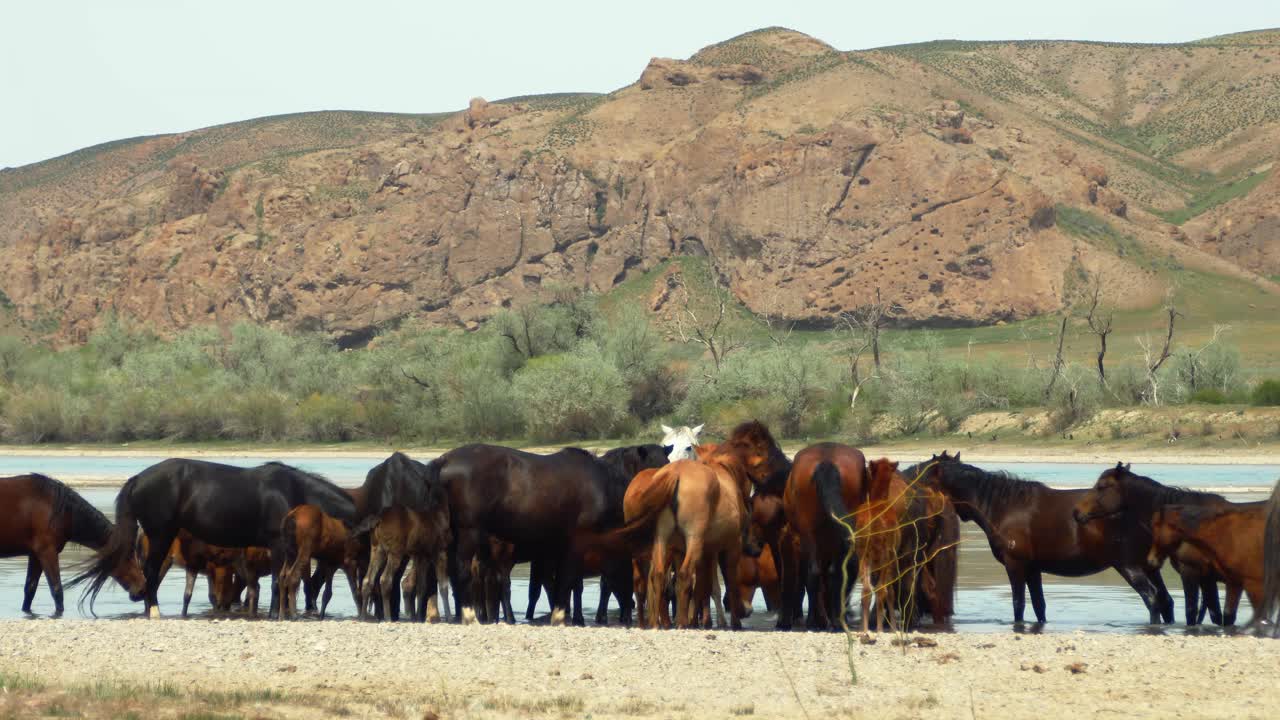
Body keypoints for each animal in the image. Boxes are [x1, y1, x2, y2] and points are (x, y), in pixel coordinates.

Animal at [0, 474, 144, 615]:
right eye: (128, 556)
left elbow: (30, 589)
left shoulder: (35, 555)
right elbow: (57, 590)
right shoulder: (47, 552)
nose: (142, 589)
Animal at [71, 459, 358, 619]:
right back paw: (154, 611)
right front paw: (277, 615)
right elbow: (279, 581)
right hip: (160, 535)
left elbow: (285, 582)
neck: (292, 491)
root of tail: (138, 479)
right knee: (150, 574)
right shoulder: (277, 546)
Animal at [781, 442, 868, 630]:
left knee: (816, 573)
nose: (849, 610)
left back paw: (817, 621)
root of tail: (827, 461)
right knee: (828, 572)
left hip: (809, 532)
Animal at [926, 452, 1173, 624]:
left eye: (923, 474)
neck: (1004, 505)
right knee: (1165, 600)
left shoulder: (1015, 565)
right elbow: (1039, 606)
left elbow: (1018, 604)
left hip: (1129, 566)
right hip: (1149, 567)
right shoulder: (1033, 568)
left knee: (1152, 599)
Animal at [1073, 462, 1246, 625]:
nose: (1077, 512)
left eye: (1101, 486)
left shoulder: (1191, 573)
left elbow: (1193, 612)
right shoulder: (1206, 578)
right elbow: (1214, 615)